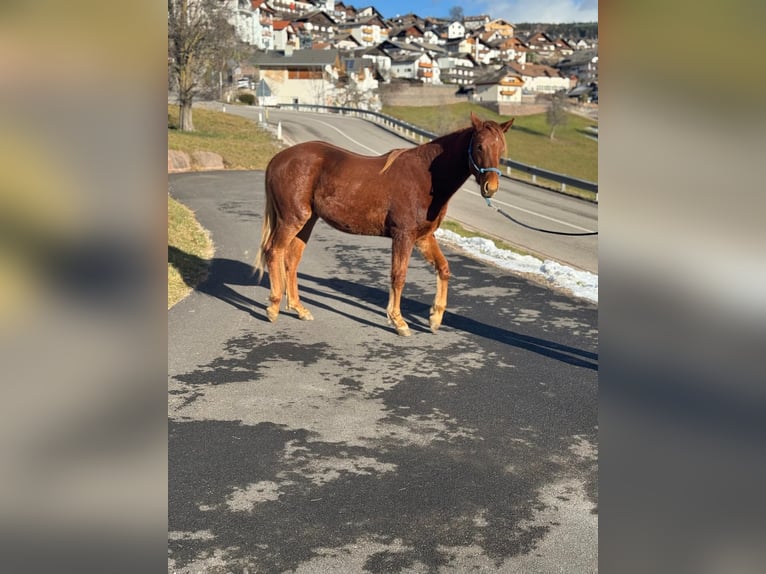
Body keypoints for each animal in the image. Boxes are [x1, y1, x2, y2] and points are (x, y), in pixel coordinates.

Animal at [255, 112, 512, 338]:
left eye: (501, 150)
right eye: (479, 146)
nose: (491, 187)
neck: (425, 177)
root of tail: (279, 159)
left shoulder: (423, 237)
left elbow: (444, 268)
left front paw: (435, 318)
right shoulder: (403, 235)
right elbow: (398, 276)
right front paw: (398, 322)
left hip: (307, 221)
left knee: (291, 260)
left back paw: (299, 309)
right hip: (292, 219)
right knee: (273, 251)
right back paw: (273, 307)